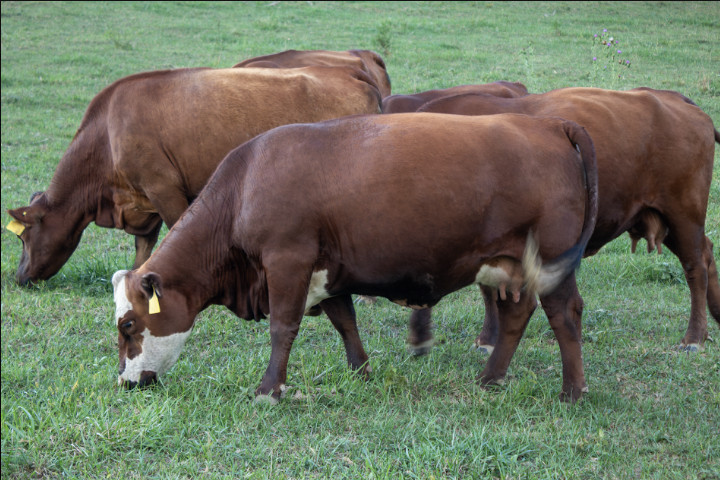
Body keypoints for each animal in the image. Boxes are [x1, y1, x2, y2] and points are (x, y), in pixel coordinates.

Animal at [6, 65, 382, 286]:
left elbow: (175, 232)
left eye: (23, 237)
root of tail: (349, 72)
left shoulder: (164, 187)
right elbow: (143, 247)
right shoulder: (144, 200)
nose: (19, 276)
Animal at [112, 112, 599, 404]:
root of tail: (549, 123)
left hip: (552, 263)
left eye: (129, 325)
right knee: (517, 314)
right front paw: (360, 372)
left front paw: (270, 388)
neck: (246, 182)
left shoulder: (288, 260)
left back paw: (572, 391)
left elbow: (282, 328)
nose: (125, 382)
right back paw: (490, 377)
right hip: (508, 265)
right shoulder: (327, 270)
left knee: (564, 314)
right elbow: (344, 320)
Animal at [407, 87, 719, 353]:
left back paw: (694, 338)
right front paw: (487, 339)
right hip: (667, 220)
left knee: (695, 267)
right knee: (707, 251)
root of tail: (674, 99)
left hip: (684, 215)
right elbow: (489, 289)